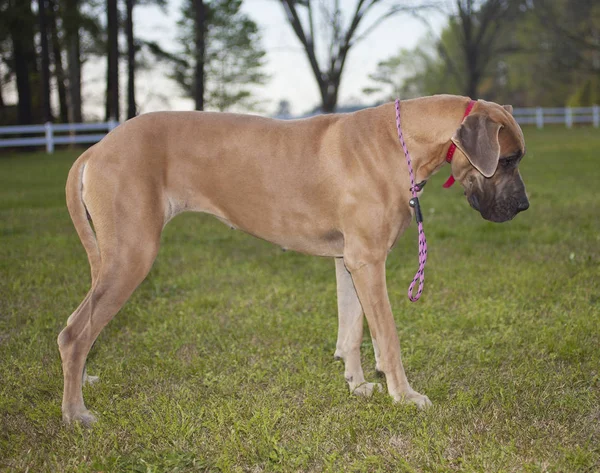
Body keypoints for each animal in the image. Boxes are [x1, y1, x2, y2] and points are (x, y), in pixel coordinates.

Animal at [58, 95, 528, 424]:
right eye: (506, 160)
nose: (523, 206)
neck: (401, 143)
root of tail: (96, 148)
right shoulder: (369, 261)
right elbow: (388, 337)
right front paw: (405, 395)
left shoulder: (350, 260)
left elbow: (352, 329)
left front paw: (357, 384)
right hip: (132, 255)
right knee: (74, 333)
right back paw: (75, 412)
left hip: (114, 257)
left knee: (82, 326)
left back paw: (82, 383)